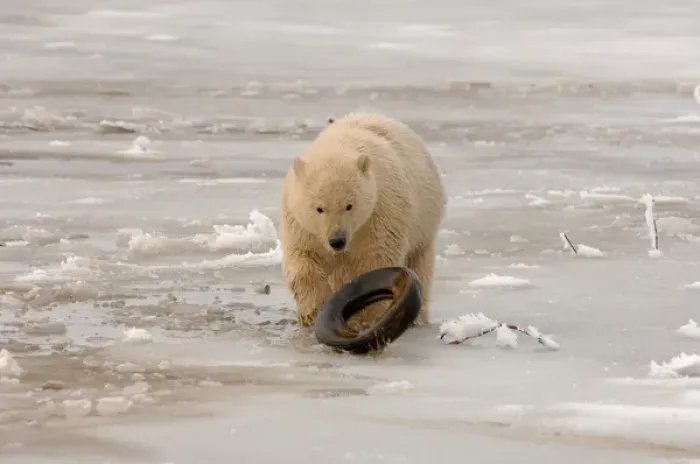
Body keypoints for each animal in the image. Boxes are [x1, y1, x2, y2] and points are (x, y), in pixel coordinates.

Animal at [279, 112, 446, 331]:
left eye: (349, 205)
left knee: (420, 265)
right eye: (319, 208)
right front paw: (313, 312)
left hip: (424, 223)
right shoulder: (301, 224)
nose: (337, 240)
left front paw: (366, 318)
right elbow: (304, 260)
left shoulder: (379, 215)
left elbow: (374, 261)